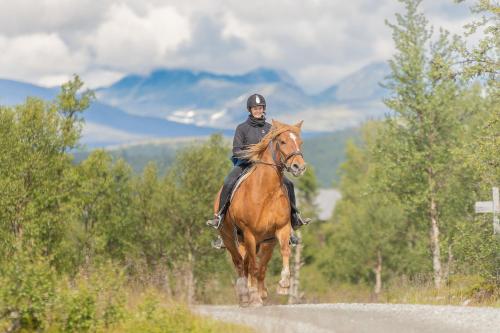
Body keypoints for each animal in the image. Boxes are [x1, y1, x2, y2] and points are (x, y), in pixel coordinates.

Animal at [213, 118, 306, 306]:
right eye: (282, 141)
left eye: (300, 142)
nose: (298, 166)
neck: (266, 192)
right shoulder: (249, 234)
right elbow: (252, 266)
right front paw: (254, 295)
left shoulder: (280, 230)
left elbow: (280, 254)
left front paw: (283, 284)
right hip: (229, 237)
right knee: (240, 263)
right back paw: (244, 294)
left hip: (262, 241)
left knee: (253, 264)